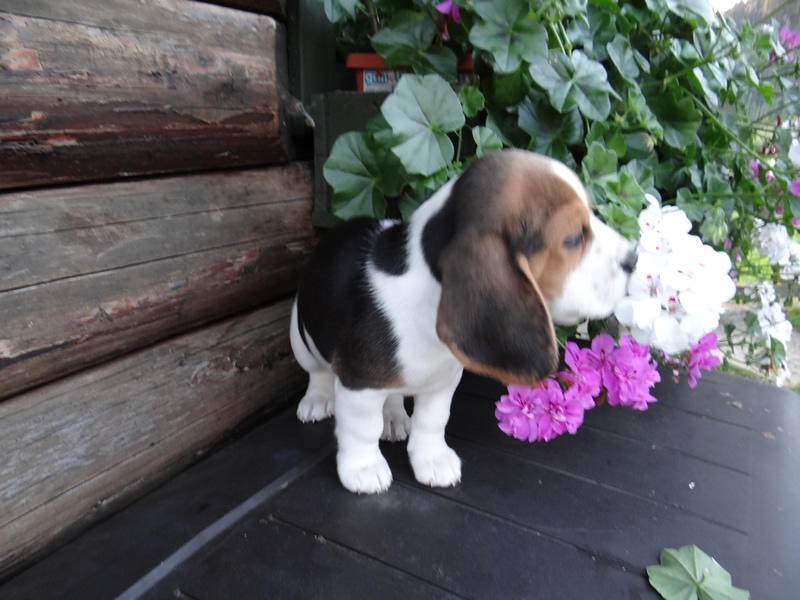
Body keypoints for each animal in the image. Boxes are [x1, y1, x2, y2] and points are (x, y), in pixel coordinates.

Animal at [290, 149, 636, 494]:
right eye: (573, 238)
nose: (634, 259)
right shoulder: (358, 383)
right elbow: (362, 429)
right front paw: (363, 468)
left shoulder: (443, 381)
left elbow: (432, 421)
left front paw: (432, 459)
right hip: (300, 335)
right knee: (318, 372)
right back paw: (318, 401)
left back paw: (394, 416)